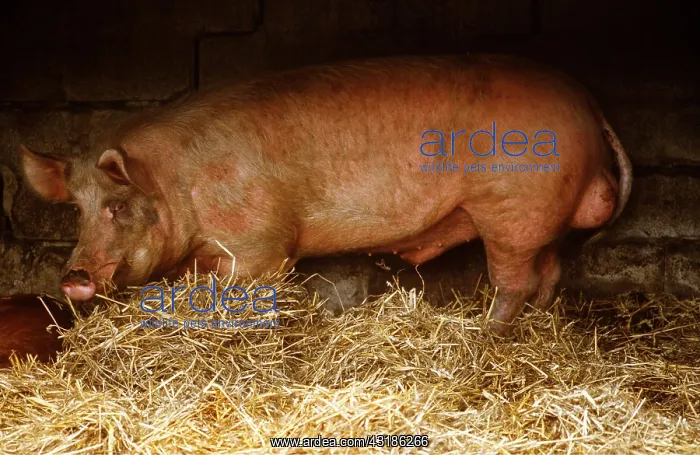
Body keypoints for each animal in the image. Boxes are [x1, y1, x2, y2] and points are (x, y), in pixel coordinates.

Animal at [20, 54, 632, 335]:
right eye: (75, 210)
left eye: (117, 206)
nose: (73, 277)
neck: (180, 184)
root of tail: (586, 102)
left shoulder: (261, 243)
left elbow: (253, 288)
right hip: (538, 217)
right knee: (549, 271)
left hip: (509, 208)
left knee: (515, 279)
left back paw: (487, 335)